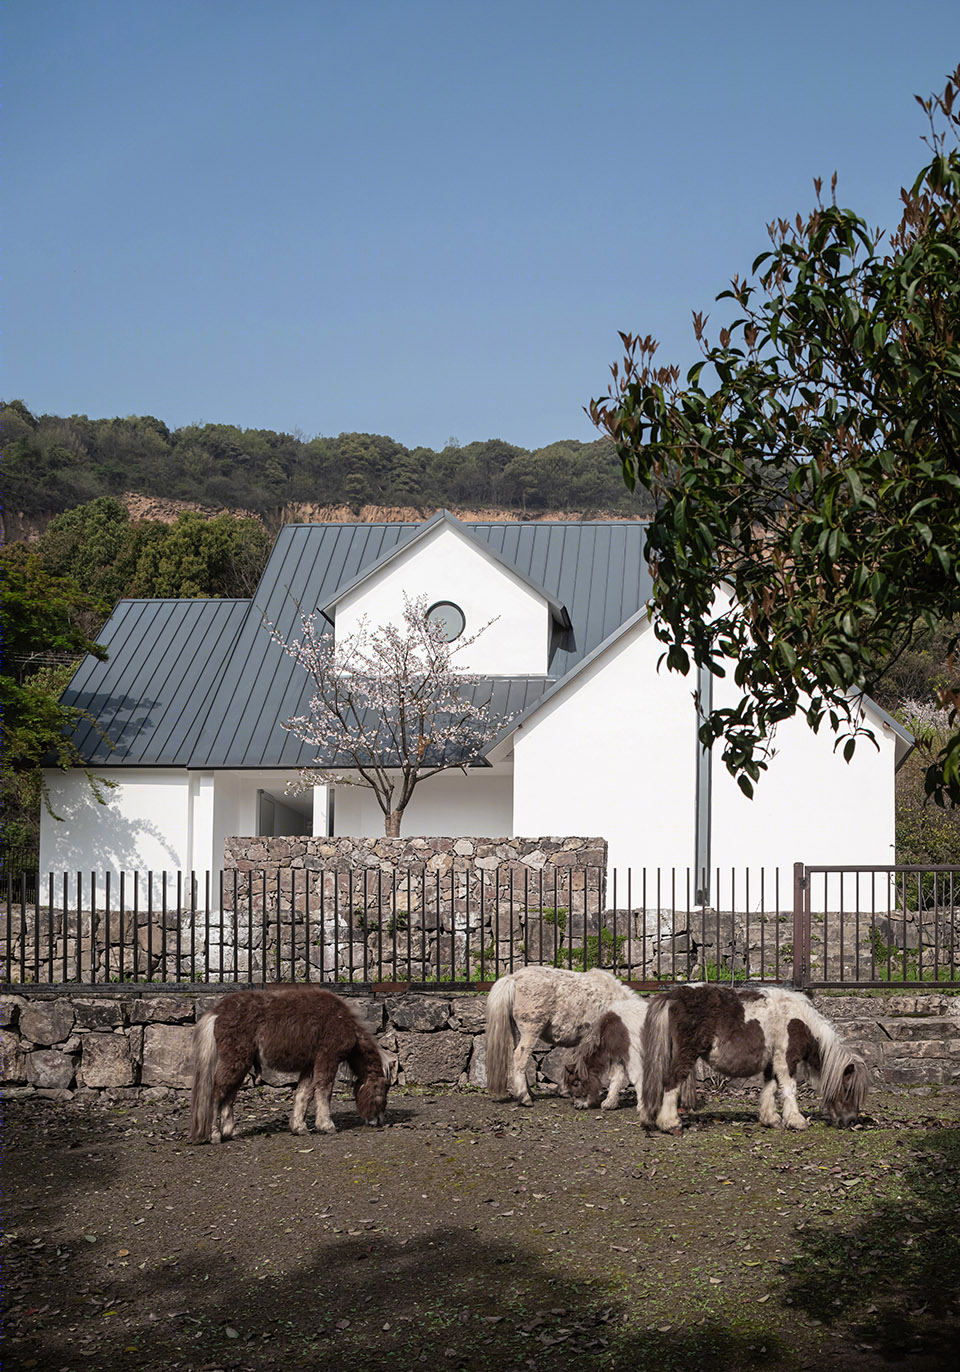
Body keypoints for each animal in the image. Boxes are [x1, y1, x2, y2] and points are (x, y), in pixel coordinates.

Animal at [189, 987, 389, 1146]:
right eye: (380, 1092)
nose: (379, 1121)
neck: (345, 1023)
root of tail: (217, 1012)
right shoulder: (327, 1058)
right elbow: (324, 1090)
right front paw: (326, 1125)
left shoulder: (310, 1064)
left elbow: (304, 1093)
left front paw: (299, 1127)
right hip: (235, 1061)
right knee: (216, 1094)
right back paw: (214, 1135)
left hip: (240, 1065)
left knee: (228, 1097)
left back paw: (230, 1133)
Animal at [482, 960, 641, 1108]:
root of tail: (514, 978)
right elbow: (607, 1071)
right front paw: (603, 1101)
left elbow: (569, 1062)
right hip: (530, 1031)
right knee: (520, 1058)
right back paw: (524, 1097)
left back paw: (530, 1093)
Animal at [636, 987, 872, 1136]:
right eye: (848, 1090)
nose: (852, 1121)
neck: (799, 1021)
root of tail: (673, 995)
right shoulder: (786, 1060)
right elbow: (789, 1089)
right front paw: (796, 1121)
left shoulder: (771, 1062)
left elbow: (770, 1087)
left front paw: (771, 1119)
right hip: (686, 1054)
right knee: (671, 1082)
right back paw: (670, 1123)